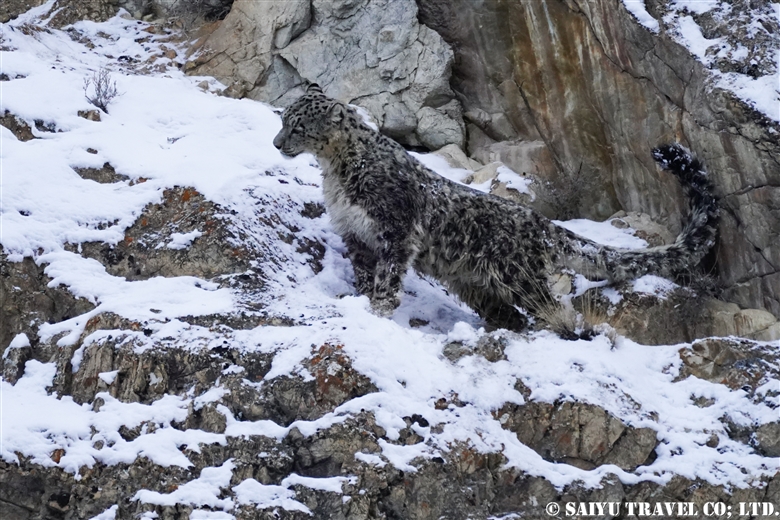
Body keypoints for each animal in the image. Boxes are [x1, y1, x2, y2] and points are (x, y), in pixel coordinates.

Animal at [272, 83, 720, 332]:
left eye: (297, 125)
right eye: (282, 118)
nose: (277, 143)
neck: (338, 170)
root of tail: (540, 222)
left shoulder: (395, 230)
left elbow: (388, 275)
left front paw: (379, 308)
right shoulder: (357, 233)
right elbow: (365, 271)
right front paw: (360, 301)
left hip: (517, 275)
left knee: (553, 308)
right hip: (476, 284)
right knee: (508, 312)